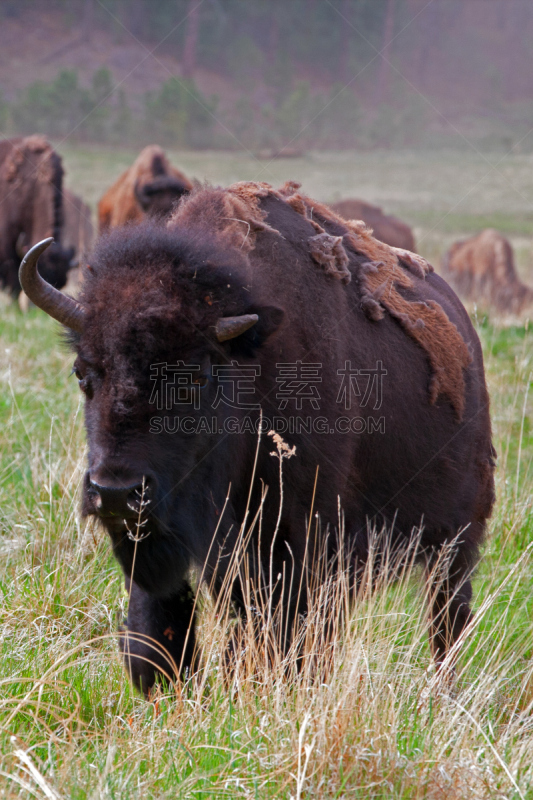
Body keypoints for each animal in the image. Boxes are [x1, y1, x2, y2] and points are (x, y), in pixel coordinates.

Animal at [20, 180, 494, 692]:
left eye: (194, 378)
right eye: (83, 373)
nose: (114, 492)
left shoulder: (298, 539)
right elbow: (159, 631)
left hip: (454, 545)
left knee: (445, 621)